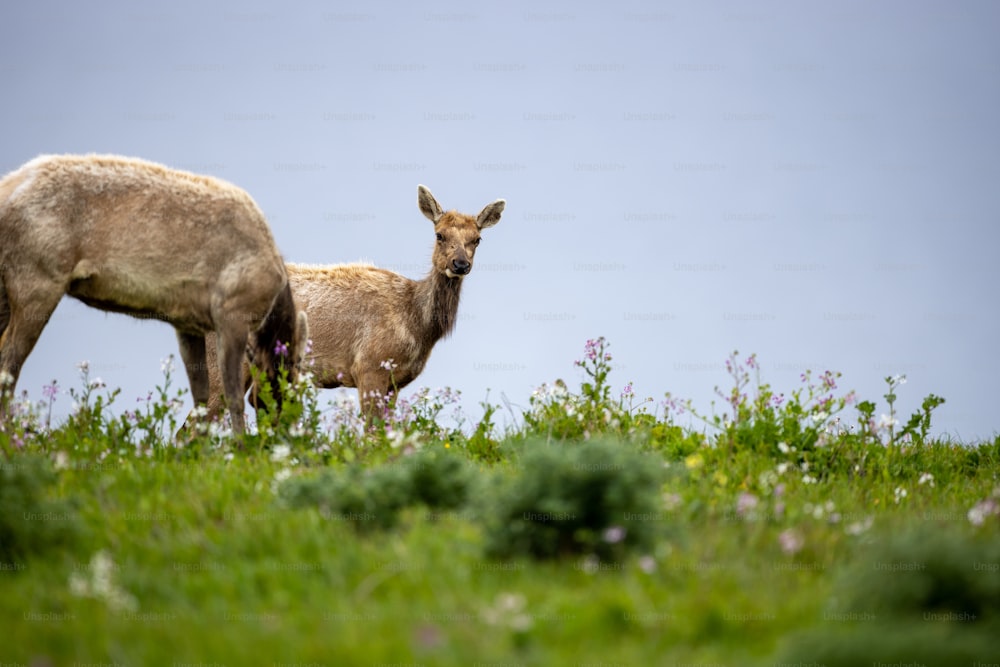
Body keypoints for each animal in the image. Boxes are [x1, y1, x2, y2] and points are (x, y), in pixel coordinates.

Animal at [0, 155, 306, 436]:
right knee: (9, 361)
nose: (286, 429)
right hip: (38, 280)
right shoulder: (232, 314)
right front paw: (241, 449)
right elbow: (231, 398)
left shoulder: (188, 323)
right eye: (289, 375)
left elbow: (201, 398)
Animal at [198, 183, 504, 422]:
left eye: (477, 239)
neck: (416, 325)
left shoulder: (395, 382)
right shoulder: (369, 365)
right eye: (439, 234)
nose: (460, 264)